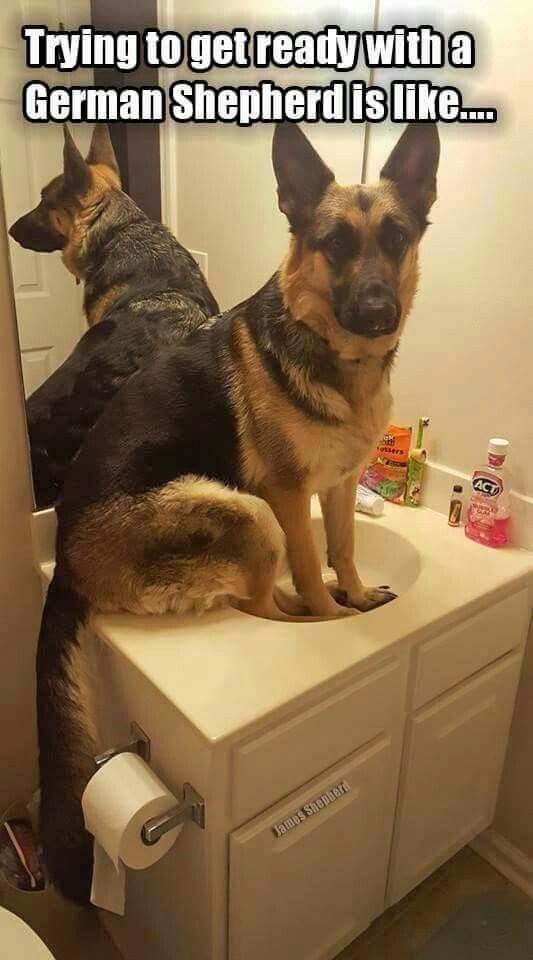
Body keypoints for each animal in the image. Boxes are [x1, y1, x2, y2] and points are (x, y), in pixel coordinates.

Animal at [36, 120, 436, 900]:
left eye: (396, 237)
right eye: (334, 243)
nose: (379, 314)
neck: (335, 358)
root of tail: (63, 555)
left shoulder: (338, 485)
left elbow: (343, 549)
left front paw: (358, 594)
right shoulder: (288, 495)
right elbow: (313, 569)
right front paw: (334, 618)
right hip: (246, 511)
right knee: (258, 604)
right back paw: (295, 609)